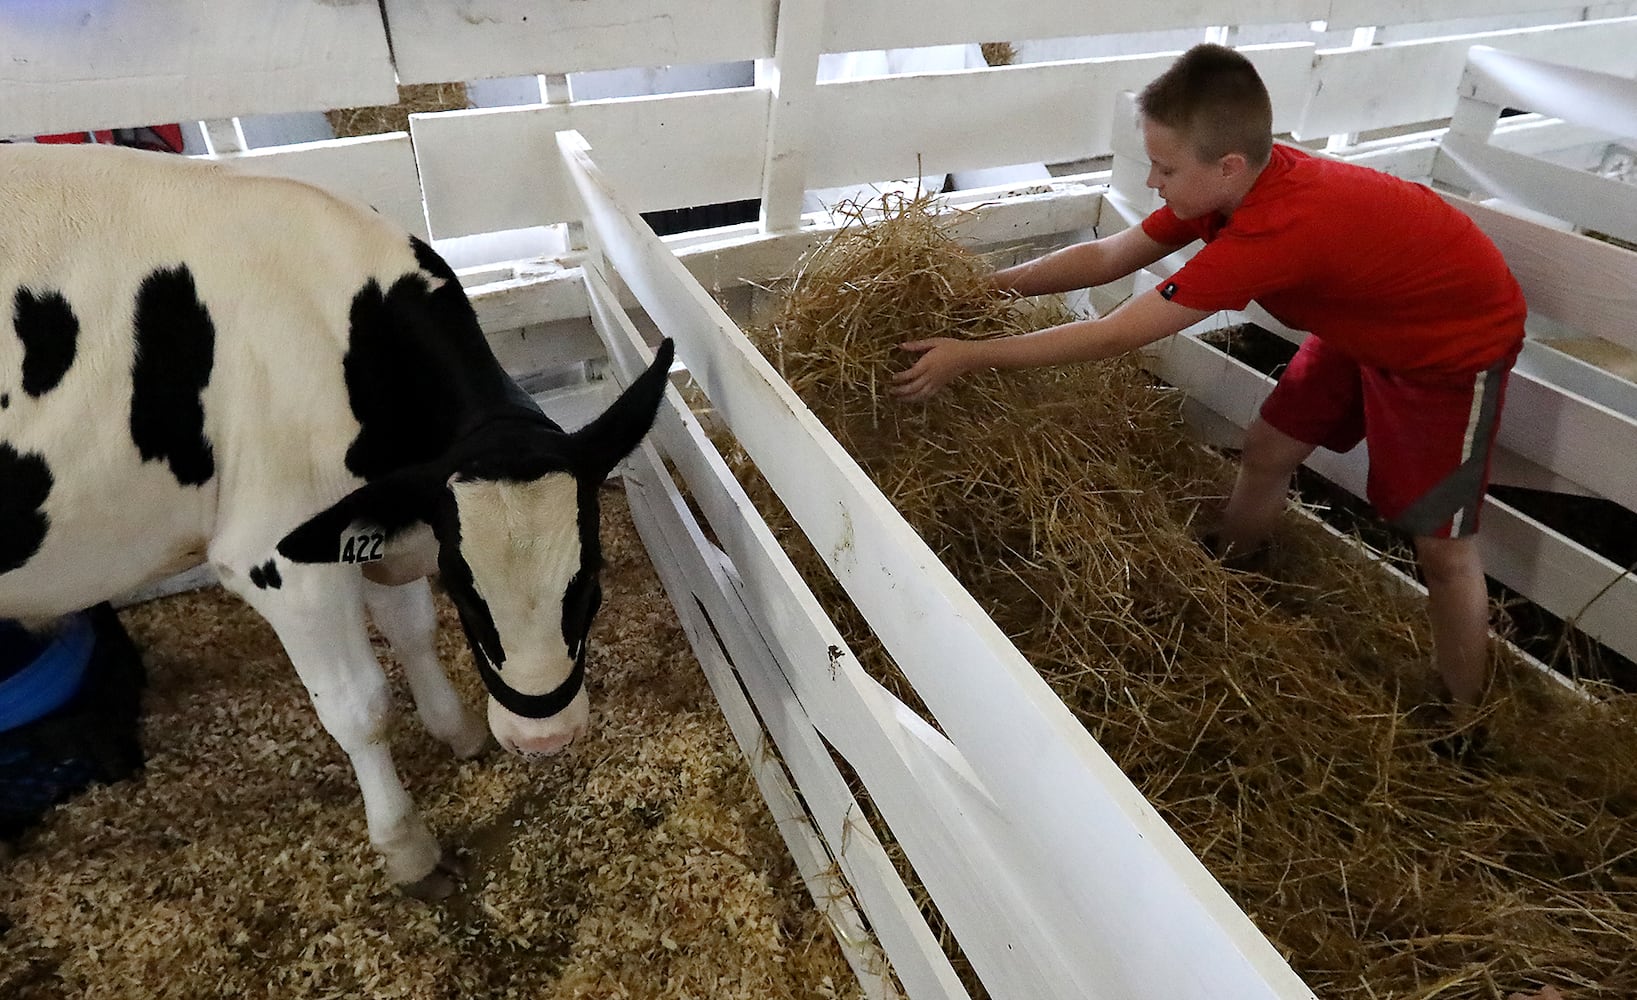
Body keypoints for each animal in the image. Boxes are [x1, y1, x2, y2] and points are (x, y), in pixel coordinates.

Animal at [0, 143, 674, 896]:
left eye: (592, 584)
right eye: (465, 593)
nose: (542, 739)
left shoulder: (380, 514)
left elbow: (411, 631)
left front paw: (457, 731)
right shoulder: (276, 559)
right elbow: (360, 707)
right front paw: (407, 846)